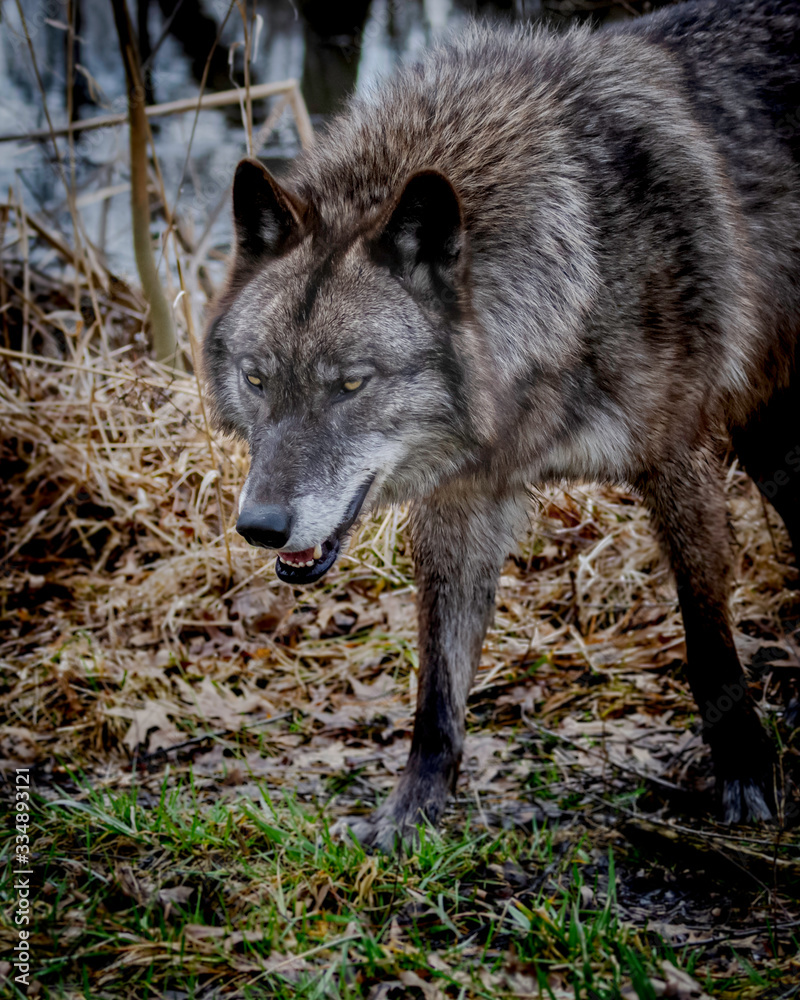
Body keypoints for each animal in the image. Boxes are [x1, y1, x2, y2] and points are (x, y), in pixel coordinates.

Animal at [203, 0, 800, 852]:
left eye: (352, 383)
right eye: (257, 378)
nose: (260, 526)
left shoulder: (679, 460)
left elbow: (708, 639)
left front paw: (746, 771)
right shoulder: (461, 503)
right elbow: (436, 688)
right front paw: (409, 816)